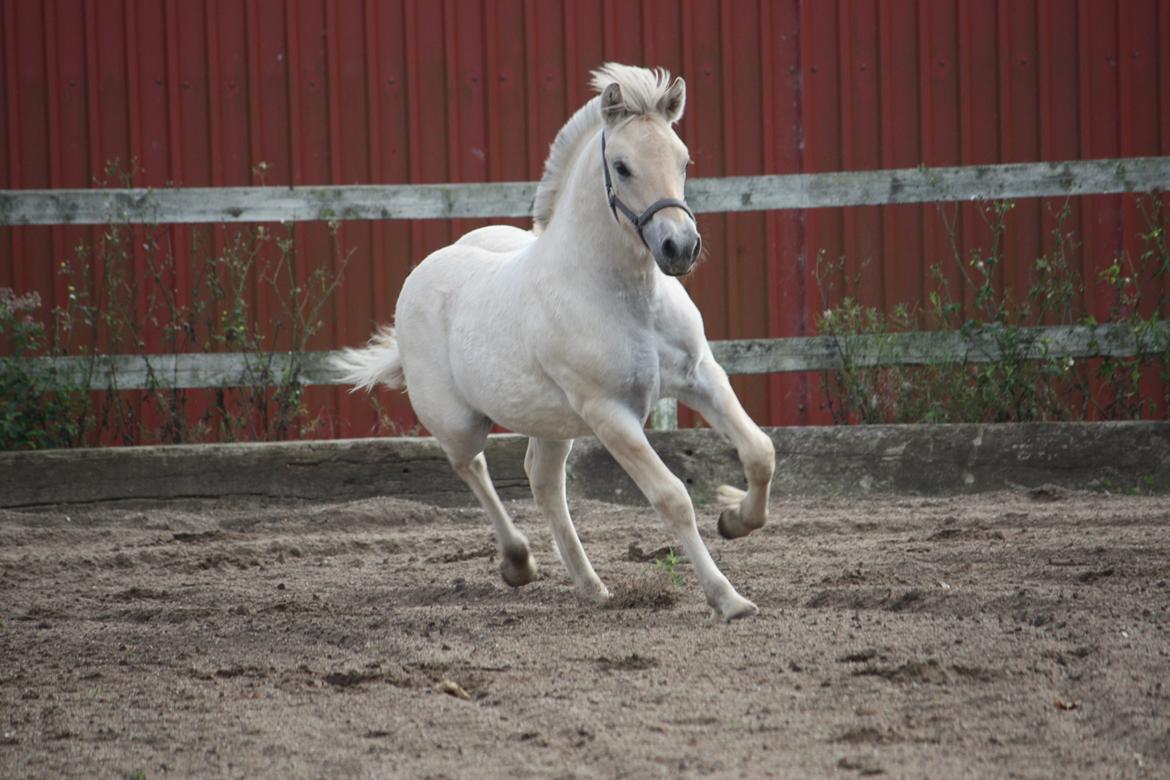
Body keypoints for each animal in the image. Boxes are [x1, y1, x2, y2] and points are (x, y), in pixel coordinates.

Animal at [336, 62, 776, 622]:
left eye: (683, 159)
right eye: (622, 166)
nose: (680, 247)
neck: (624, 296)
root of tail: (424, 271)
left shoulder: (701, 376)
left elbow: (760, 451)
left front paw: (735, 520)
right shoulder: (610, 412)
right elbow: (672, 497)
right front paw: (728, 599)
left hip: (551, 421)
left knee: (543, 483)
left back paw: (591, 586)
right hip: (460, 423)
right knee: (472, 466)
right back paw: (518, 564)